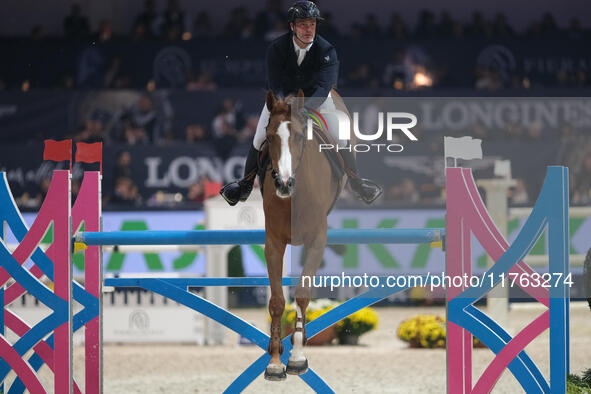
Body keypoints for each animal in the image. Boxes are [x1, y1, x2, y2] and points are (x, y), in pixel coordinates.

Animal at [260, 88, 352, 378]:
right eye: (269, 137)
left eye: (300, 136)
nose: (283, 183)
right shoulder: (274, 244)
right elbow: (278, 301)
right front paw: (275, 361)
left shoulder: (316, 241)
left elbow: (301, 294)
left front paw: (298, 356)